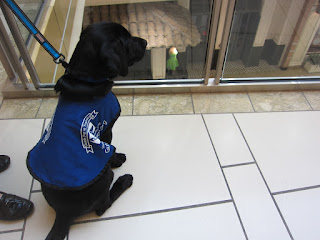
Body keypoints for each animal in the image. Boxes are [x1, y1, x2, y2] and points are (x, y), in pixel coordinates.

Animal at [26, 21, 147, 239]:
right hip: (105, 178)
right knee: (102, 207)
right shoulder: (106, 129)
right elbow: (109, 149)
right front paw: (117, 159)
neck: (85, 78)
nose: (145, 42)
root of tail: (63, 214)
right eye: (126, 40)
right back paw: (123, 181)